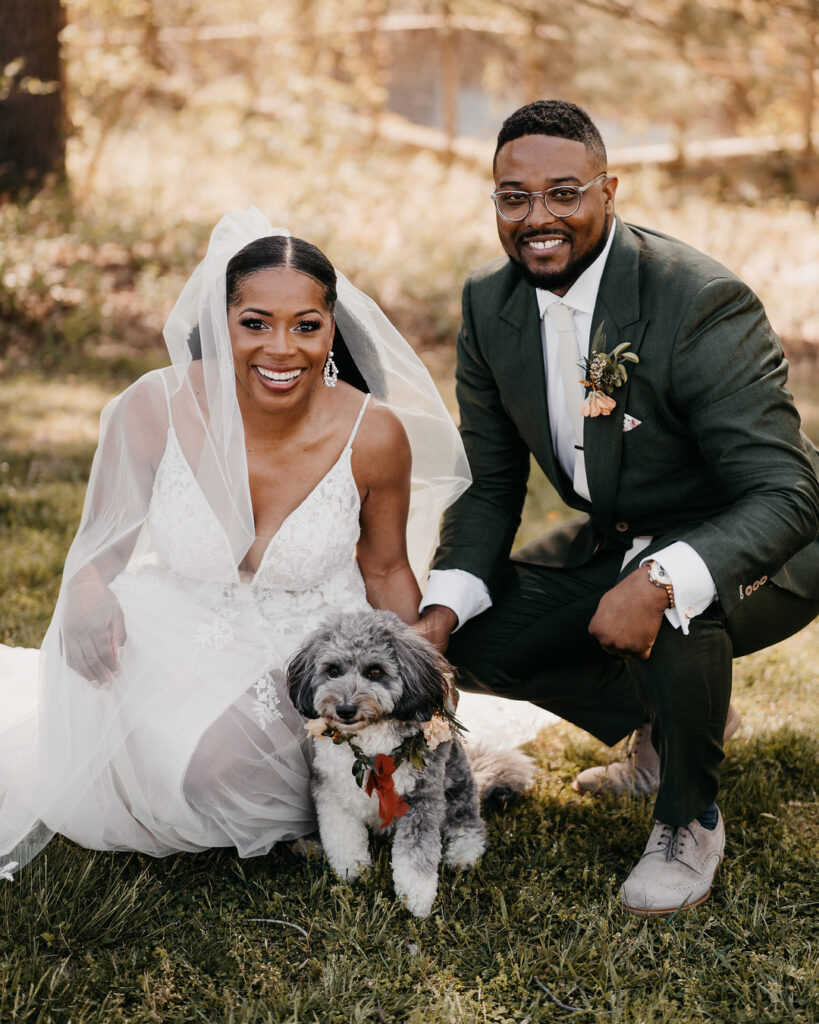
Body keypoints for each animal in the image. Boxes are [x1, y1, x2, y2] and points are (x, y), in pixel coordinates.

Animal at [284, 606, 532, 921]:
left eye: (375, 671)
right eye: (333, 671)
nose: (345, 709)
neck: (370, 743)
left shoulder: (421, 798)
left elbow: (416, 855)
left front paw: (416, 899)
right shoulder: (330, 788)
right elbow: (342, 834)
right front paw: (351, 869)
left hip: (457, 785)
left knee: (467, 823)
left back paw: (462, 855)